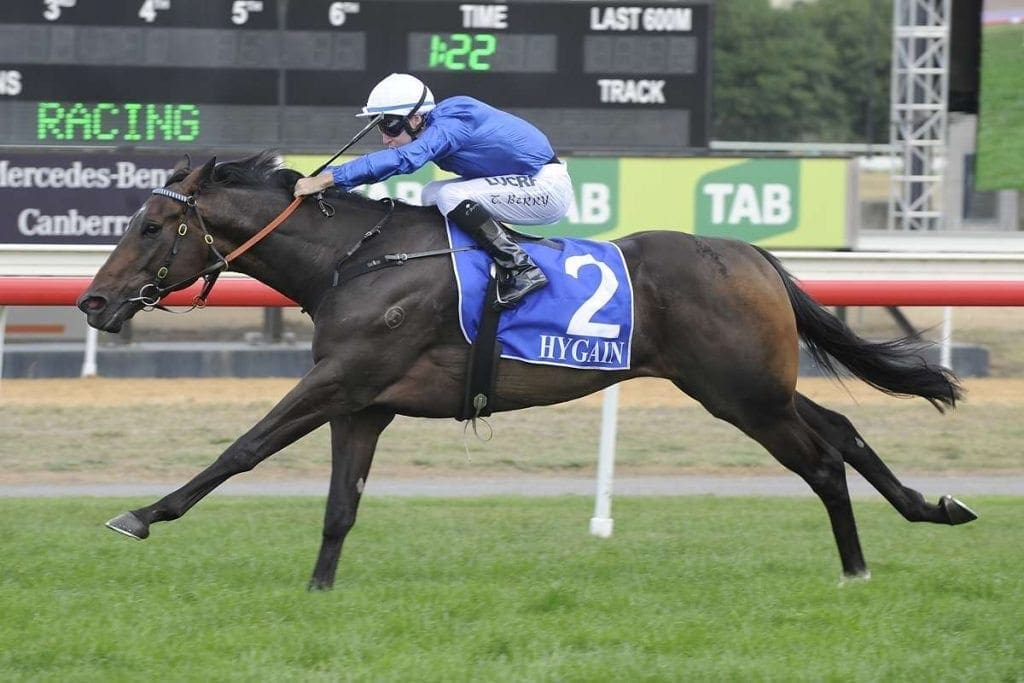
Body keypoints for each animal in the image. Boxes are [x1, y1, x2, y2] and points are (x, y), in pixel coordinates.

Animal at [74, 152, 974, 589]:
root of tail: (753, 255)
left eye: (151, 226)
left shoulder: (339, 382)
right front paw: (319, 591)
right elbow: (339, 507)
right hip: (754, 386)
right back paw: (932, 507)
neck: (355, 260)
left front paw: (142, 513)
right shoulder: (363, 403)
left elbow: (242, 449)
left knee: (821, 459)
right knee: (843, 430)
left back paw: (856, 567)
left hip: (742, 393)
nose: (92, 300)